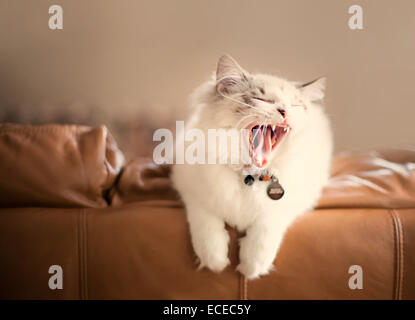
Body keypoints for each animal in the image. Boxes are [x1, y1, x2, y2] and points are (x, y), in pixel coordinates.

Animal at [171, 55, 334, 280]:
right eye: (262, 99)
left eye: (294, 105)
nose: (284, 111)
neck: (249, 177)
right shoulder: (191, 191)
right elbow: (206, 229)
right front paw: (216, 263)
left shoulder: (290, 204)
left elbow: (263, 235)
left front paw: (250, 269)